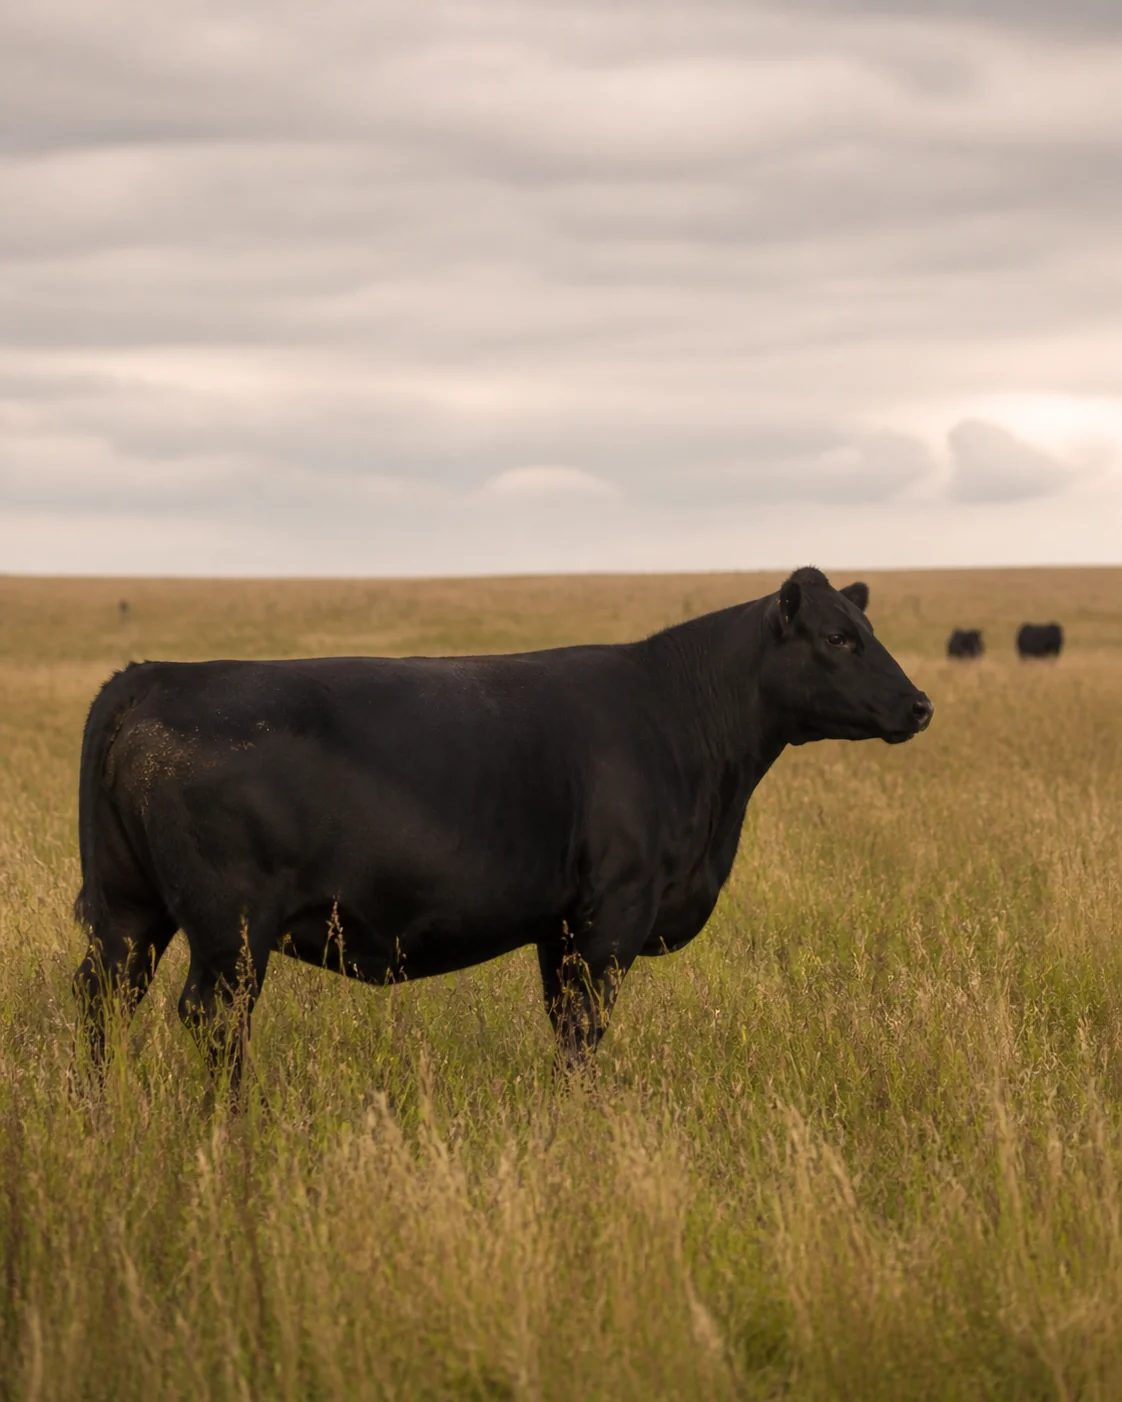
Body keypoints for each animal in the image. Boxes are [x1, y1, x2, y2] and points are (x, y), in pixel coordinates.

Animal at [72, 567, 933, 1092]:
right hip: (230, 931)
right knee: (212, 1021)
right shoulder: (613, 913)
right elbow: (585, 1030)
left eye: (867, 628)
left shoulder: (561, 925)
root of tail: (153, 675)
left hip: (128, 910)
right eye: (838, 638)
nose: (919, 704)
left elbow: (564, 1027)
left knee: (102, 999)